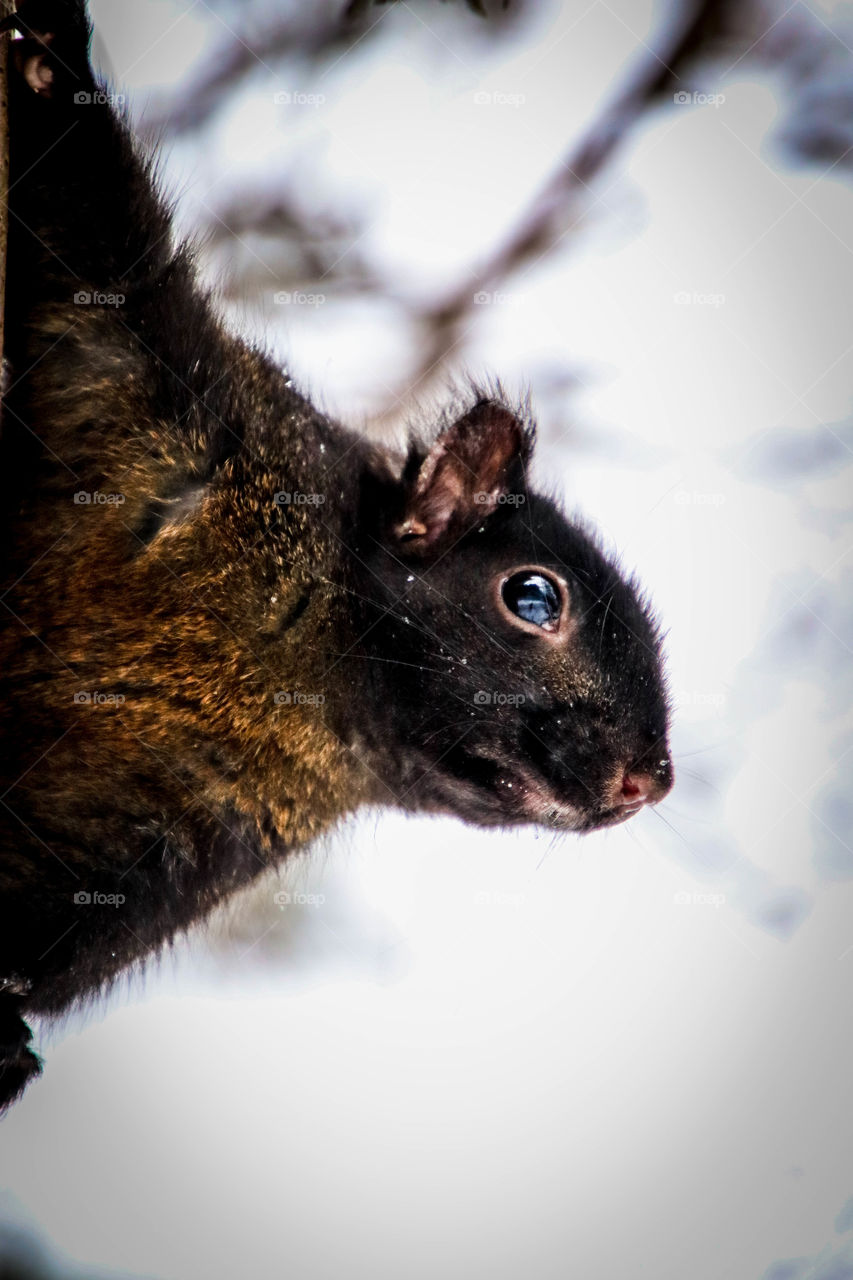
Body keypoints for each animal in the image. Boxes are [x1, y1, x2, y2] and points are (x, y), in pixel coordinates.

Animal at [0, 0, 671, 1111]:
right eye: (534, 598)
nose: (647, 781)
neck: (294, 653)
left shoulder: (173, 836)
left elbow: (35, 938)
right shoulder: (147, 382)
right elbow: (83, 224)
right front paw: (45, 56)